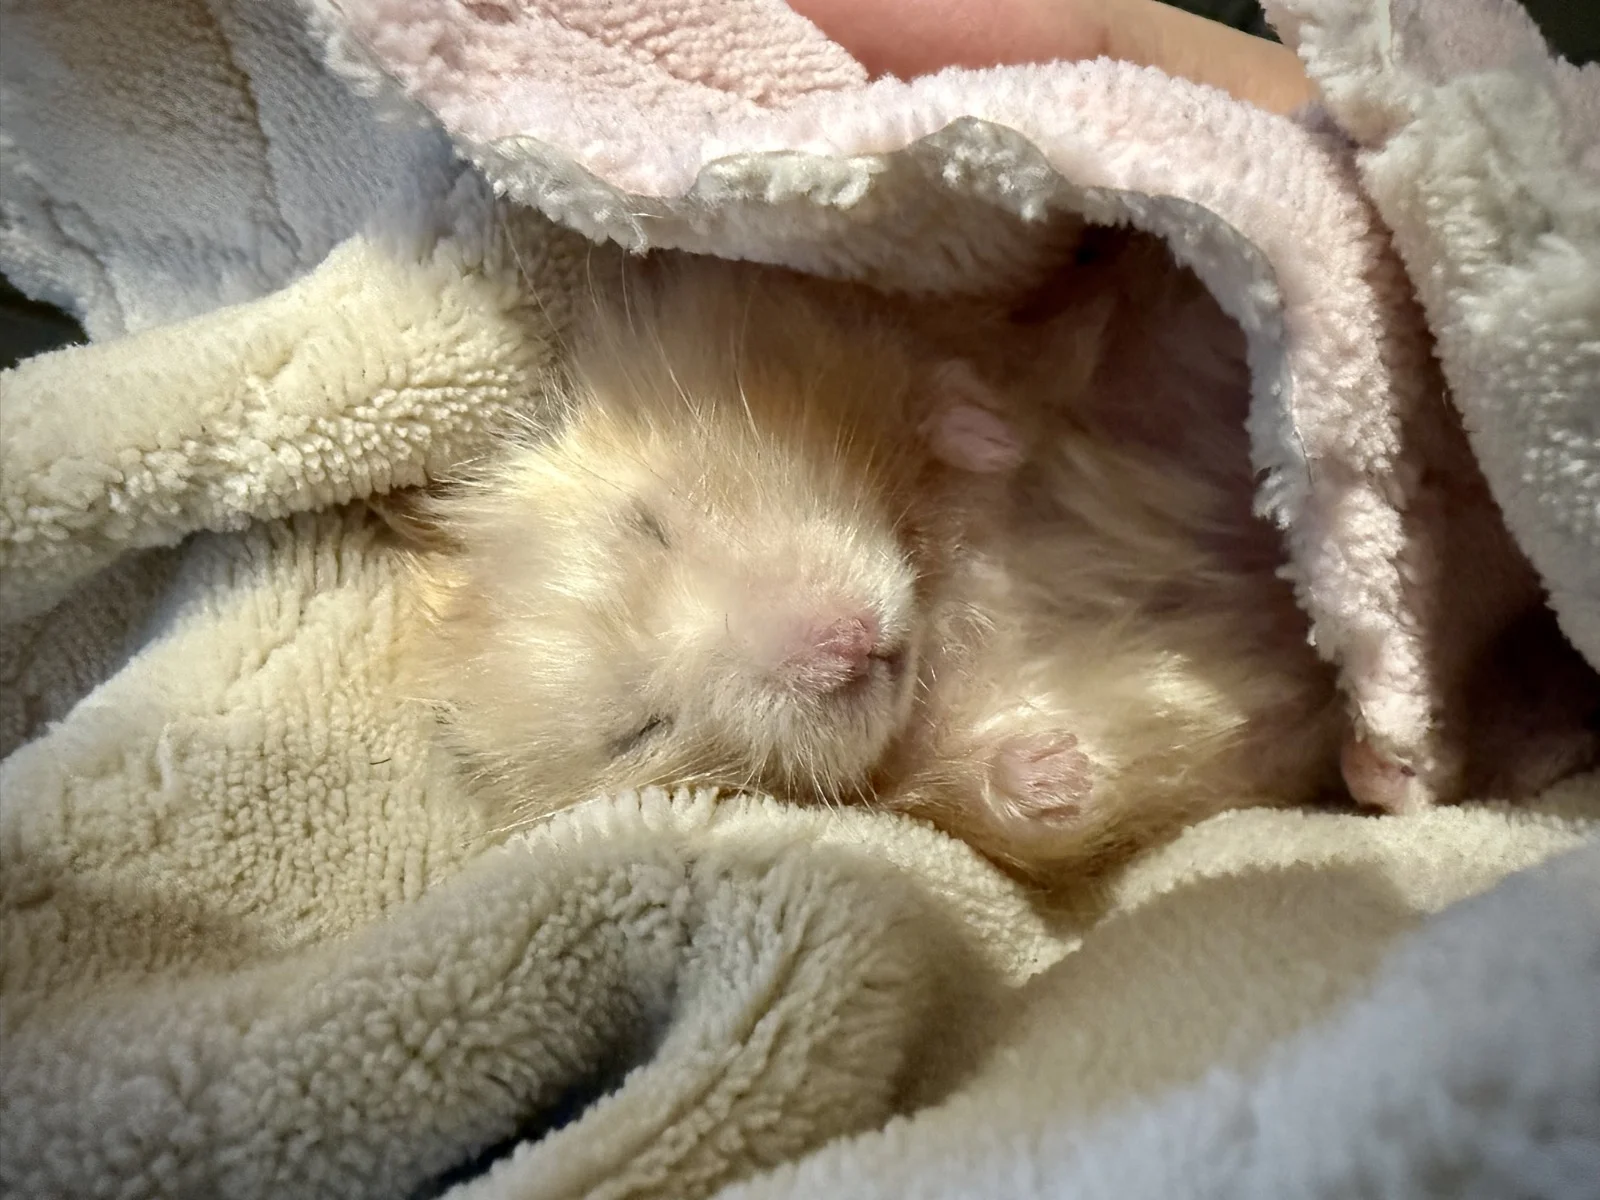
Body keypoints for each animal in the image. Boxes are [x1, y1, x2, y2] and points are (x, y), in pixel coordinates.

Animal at [404, 242, 1346, 884]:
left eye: (651, 524)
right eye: (642, 731)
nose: (847, 646)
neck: (936, 596)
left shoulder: (812, 311)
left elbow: (917, 364)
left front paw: (988, 435)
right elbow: (1011, 803)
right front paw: (1051, 772)